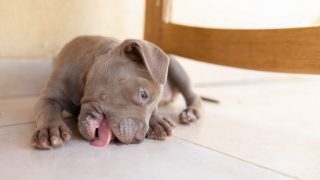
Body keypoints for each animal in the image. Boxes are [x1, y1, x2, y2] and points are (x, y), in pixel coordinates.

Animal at [32, 35, 202, 150]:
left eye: (155, 109)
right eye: (143, 94)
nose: (138, 139)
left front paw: (157, 122)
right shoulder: (49, 95)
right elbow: (48, 109)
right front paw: (50, 129)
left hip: (174, 67)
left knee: (194, 96)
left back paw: (191, 112)